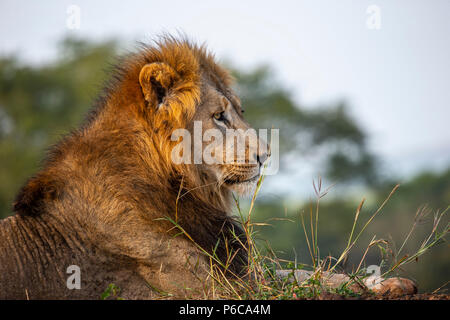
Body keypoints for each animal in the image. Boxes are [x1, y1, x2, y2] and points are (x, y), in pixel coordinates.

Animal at [0, 36, 414, 298]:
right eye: (219, 116)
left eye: (239, 111)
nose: (266, 154)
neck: (178, 185)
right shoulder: (212, 286)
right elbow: (304, 284)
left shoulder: (236, 270)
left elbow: (305, 274)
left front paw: (387, 282)